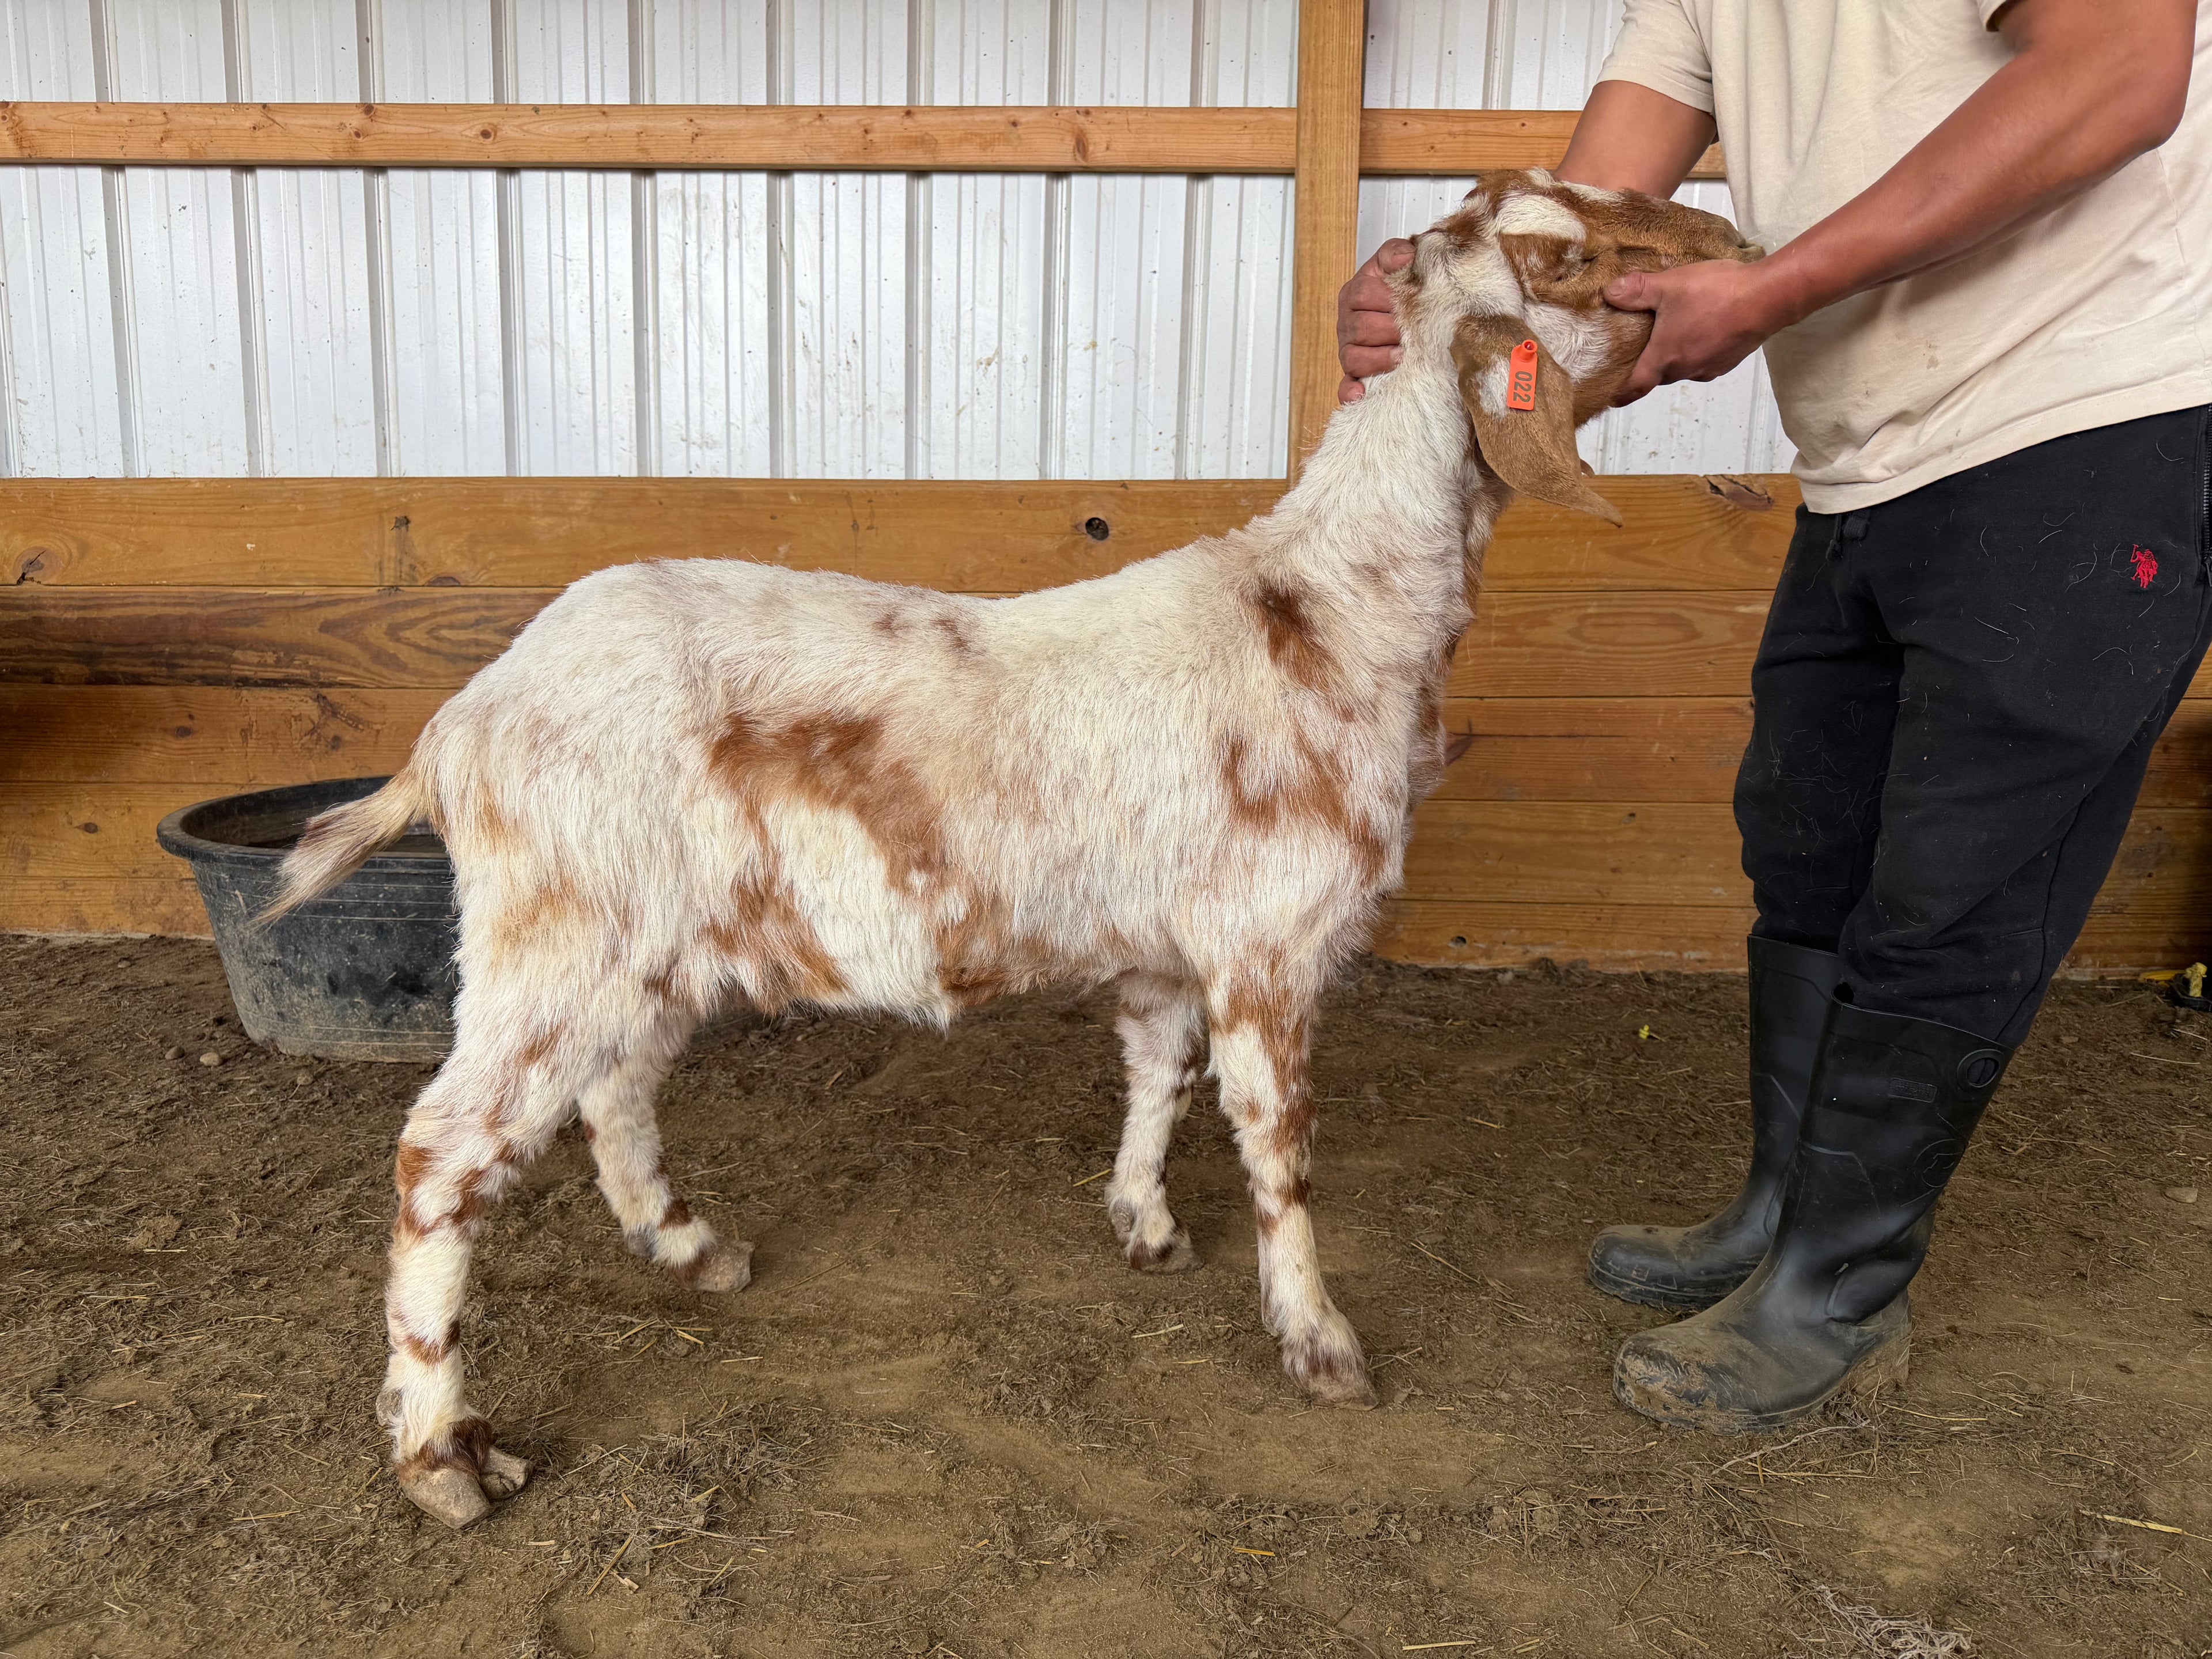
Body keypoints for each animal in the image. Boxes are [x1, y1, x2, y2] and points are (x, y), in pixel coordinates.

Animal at [272, 171, 1757, 1529]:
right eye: (1560, 258)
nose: (1729, 244)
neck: (1330, 612)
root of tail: (461, 722)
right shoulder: (1269, 944)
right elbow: (1279, 1150)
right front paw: (1321, 1344)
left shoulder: (1168, 948)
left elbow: (1158, 1073)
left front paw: (1144, 1223)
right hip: (557, 930)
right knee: (440, 1153)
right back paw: (442, 1456)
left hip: (649, 942)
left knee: (612, 1086)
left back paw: (690, 1248)